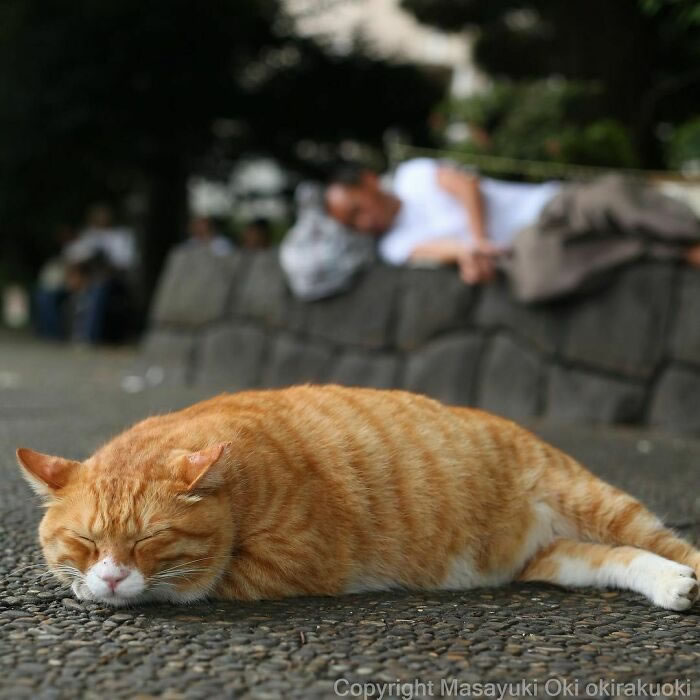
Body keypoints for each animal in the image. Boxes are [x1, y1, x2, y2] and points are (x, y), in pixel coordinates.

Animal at [16, 386, 700, 608]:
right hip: (555, 559)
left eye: (151, 539)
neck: (242, 482)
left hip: (598, 503)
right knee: (618, 559)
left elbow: (194, 583)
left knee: (667, 542)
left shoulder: (290, 562)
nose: (109, 575)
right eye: (84, 539)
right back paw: (671, 587)